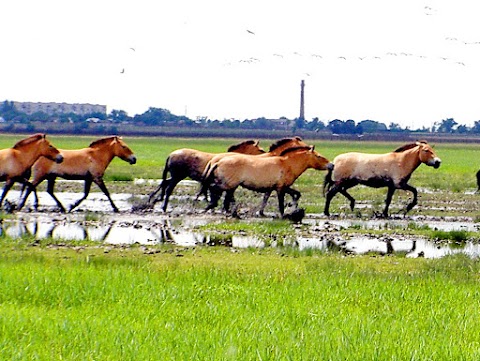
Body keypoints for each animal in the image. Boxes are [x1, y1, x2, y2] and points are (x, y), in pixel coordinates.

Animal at [201, 146, 332, 217]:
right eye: (319, 156)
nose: (332, 165)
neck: (287, 164)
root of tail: (217, 162)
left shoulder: (276, 188)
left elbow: (295, 194)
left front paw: (293, 206)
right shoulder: (280, 188)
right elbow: (281, 204)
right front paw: (285, 213)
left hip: (230, 186)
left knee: (222, 194)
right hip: (229, 185)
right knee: (215, 190)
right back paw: (212, 207)